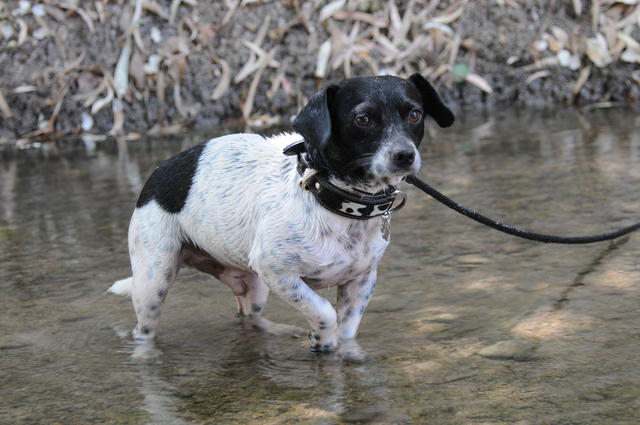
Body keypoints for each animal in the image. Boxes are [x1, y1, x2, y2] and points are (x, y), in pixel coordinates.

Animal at [107, 73, 452, 352]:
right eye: (363, 119)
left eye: (415, 114)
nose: (405, 155)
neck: (334, 199)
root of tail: (156, 173)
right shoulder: (278, 273)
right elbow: (324, 311)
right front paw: (321, 337)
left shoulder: (361, 282)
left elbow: (347, 332)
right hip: (154, 282)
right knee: (143, 331)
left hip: (252, 283)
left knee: (249, 317)